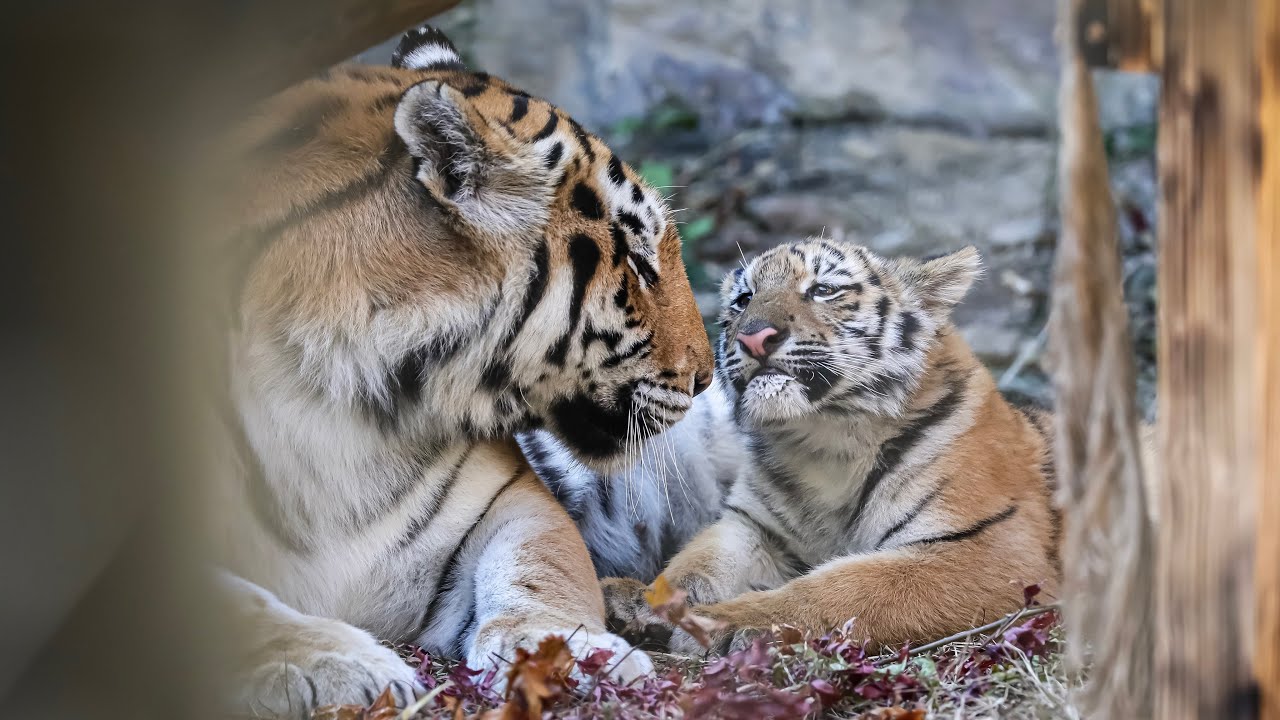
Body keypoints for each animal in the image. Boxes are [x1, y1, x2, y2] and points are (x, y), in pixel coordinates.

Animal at [207, 25, 714, 717]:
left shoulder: (511, 498)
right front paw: (337, 665)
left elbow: (540, 567)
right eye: (637, 259)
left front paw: (567, 652)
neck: (331, 405)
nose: (708, 376)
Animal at [601, 239, 1063, 655]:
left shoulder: (986, 548)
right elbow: (697, 560)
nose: (753, 337)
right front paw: (644, 602)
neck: (826, 440)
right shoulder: (755, 525)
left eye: (823, 289)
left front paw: (725, 624)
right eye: (743, 299)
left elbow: (840, 588)